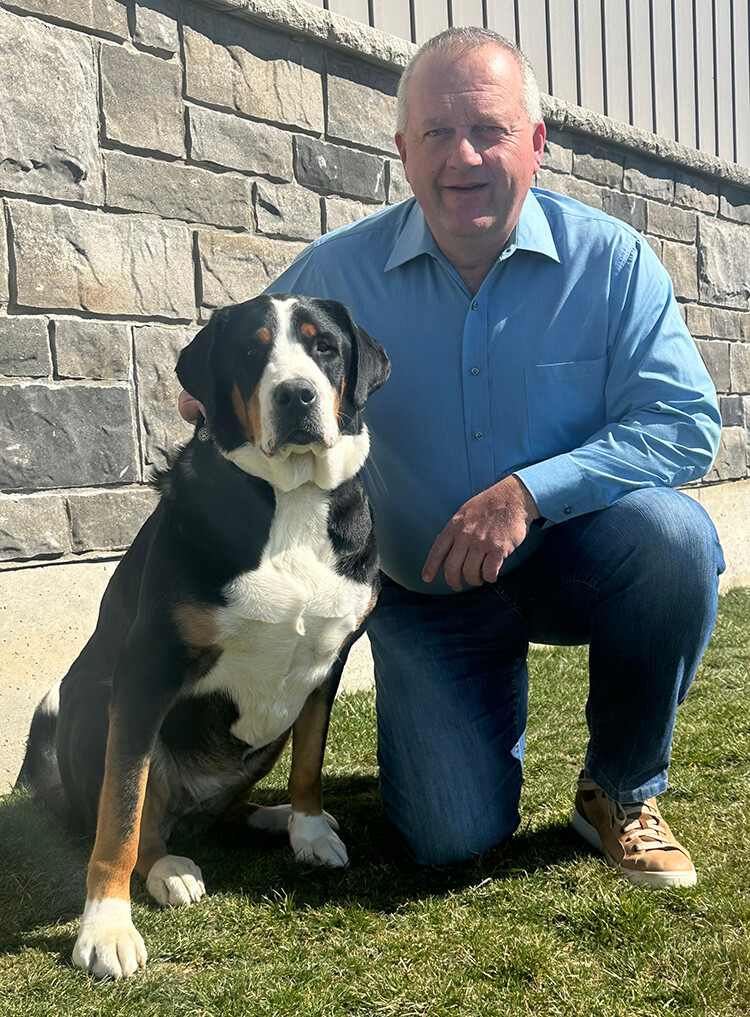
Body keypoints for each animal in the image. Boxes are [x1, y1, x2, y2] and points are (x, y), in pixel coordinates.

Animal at [18, 292, 392, 976]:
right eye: (250, 352)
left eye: (323, 346)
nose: (296, 395)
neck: (289, 497)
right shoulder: (147, 670)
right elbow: (120, 812)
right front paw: (105, 927)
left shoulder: (328, 662)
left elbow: (310, 763)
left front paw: (308, 829)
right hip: (93, 702)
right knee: (140, 817)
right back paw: (167, 869)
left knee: (224, 807)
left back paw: (271, 817)